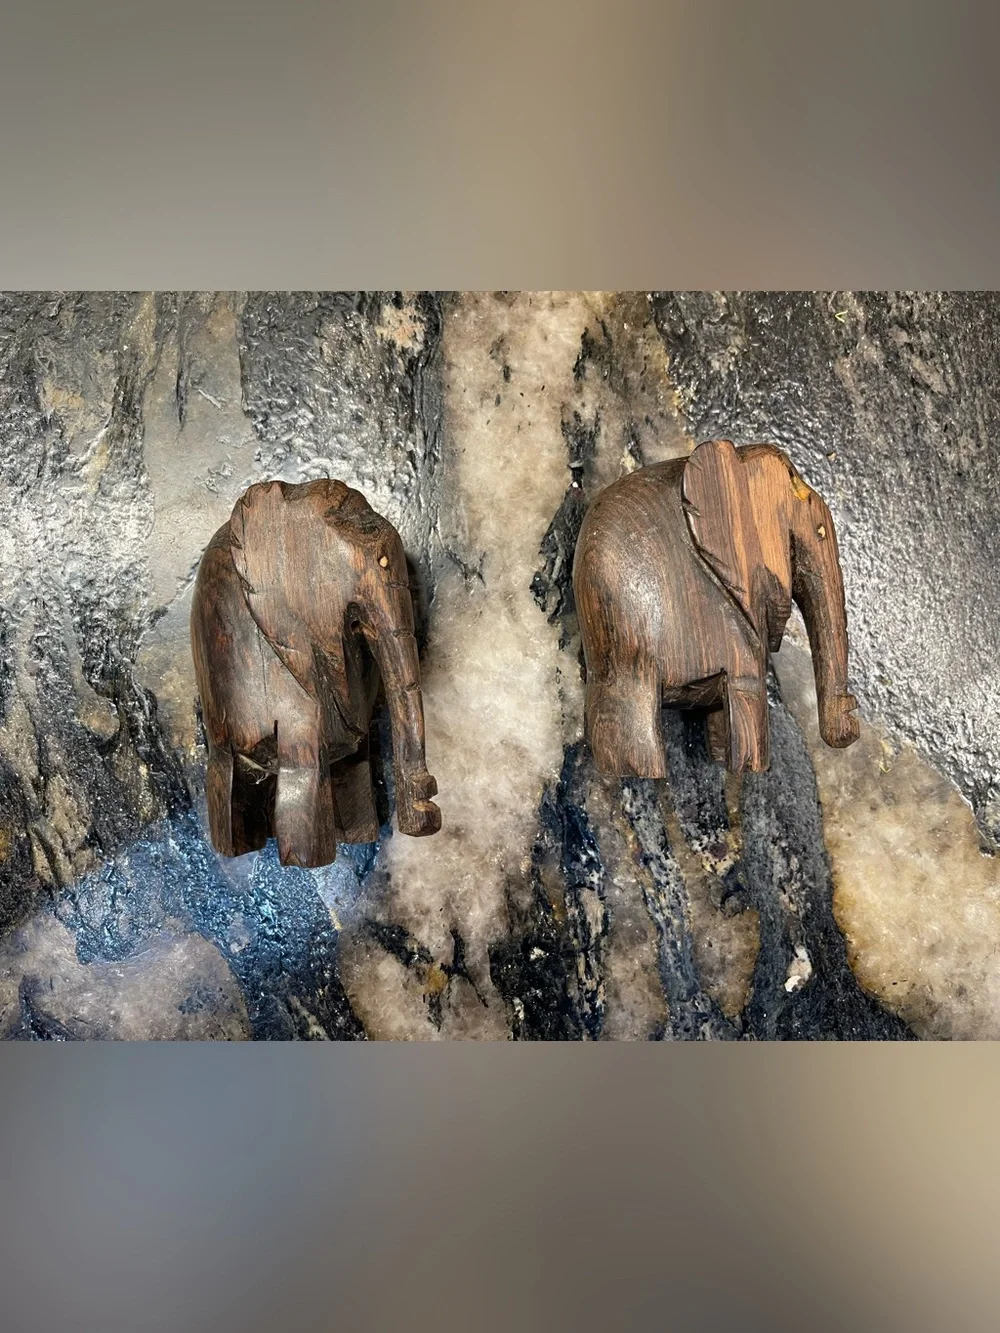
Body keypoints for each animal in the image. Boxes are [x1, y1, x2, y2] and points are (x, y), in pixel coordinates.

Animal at [190, 477, 441, 868]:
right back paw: (235, 850)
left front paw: (360, 837)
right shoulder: (292, 671)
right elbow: (305, 761)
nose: (425, 822)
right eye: (379, 561)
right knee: (227, 770)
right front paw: (308, 862)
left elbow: (354, 763)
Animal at [572, 439, 860, 778]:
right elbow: (747, 689)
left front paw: (725, 761)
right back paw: (650, 775)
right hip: (633, 648)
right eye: (793, 482)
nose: (850, 726)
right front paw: (750, 769)